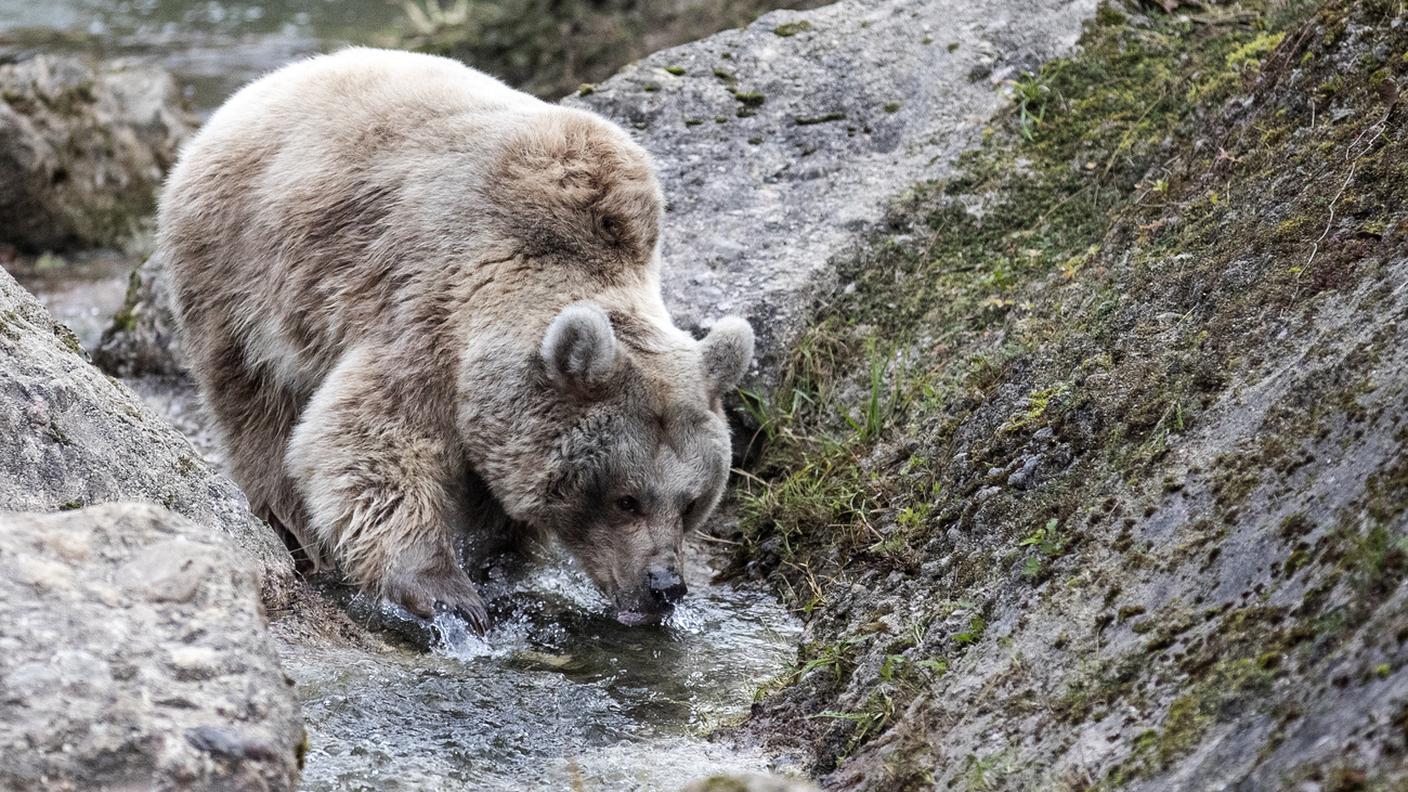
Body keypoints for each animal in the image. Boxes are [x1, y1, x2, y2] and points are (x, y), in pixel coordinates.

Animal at [158, 47, 754, 628]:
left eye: (692, 502)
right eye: (627, 499)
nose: (665, 586)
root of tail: (260, 88)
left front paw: (494, 565)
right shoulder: (428, 312)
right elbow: (367, 439)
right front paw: (448, 593)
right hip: (243, 276)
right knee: (257, 409)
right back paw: (297, 533)